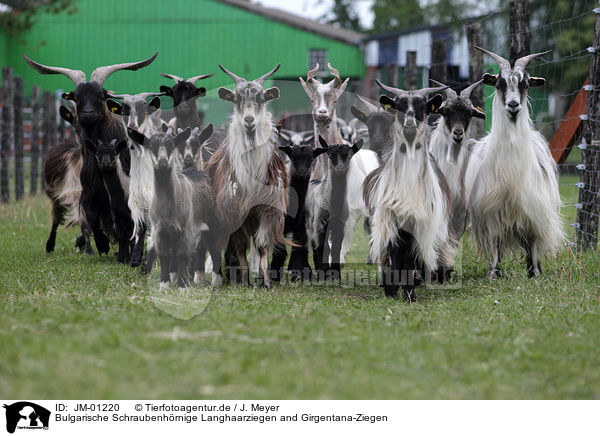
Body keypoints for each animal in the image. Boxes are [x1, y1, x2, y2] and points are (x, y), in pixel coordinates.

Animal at [24, 51, 158, 262]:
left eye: (101, 96)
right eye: (77, 97)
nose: (88, 113)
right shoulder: (88, 193)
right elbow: (91, 219)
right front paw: (101, 245)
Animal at [205, 63, 290, 288]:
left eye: (261, 98)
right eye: (237, 99)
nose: (249, 120)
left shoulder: (268, 210)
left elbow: (261, 245)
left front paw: (265, 281)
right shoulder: (233, 211)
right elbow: (239, 246)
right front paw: (243, 280)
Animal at [366, 81, 454, 300]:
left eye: (424, 108)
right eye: (398, 106)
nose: (409, 125)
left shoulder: (419, 222)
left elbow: (408, 259)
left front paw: (409, 294)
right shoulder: (390, 217)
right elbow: (393, 253)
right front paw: (391, 290)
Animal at [462, 47, 564, 278]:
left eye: (525, 84)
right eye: (500, 84)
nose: (513, 105)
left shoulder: (534, 210)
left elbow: (533, 242)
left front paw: (535, 272)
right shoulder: (491, 210)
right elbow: (495, 244)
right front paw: (494, 273)